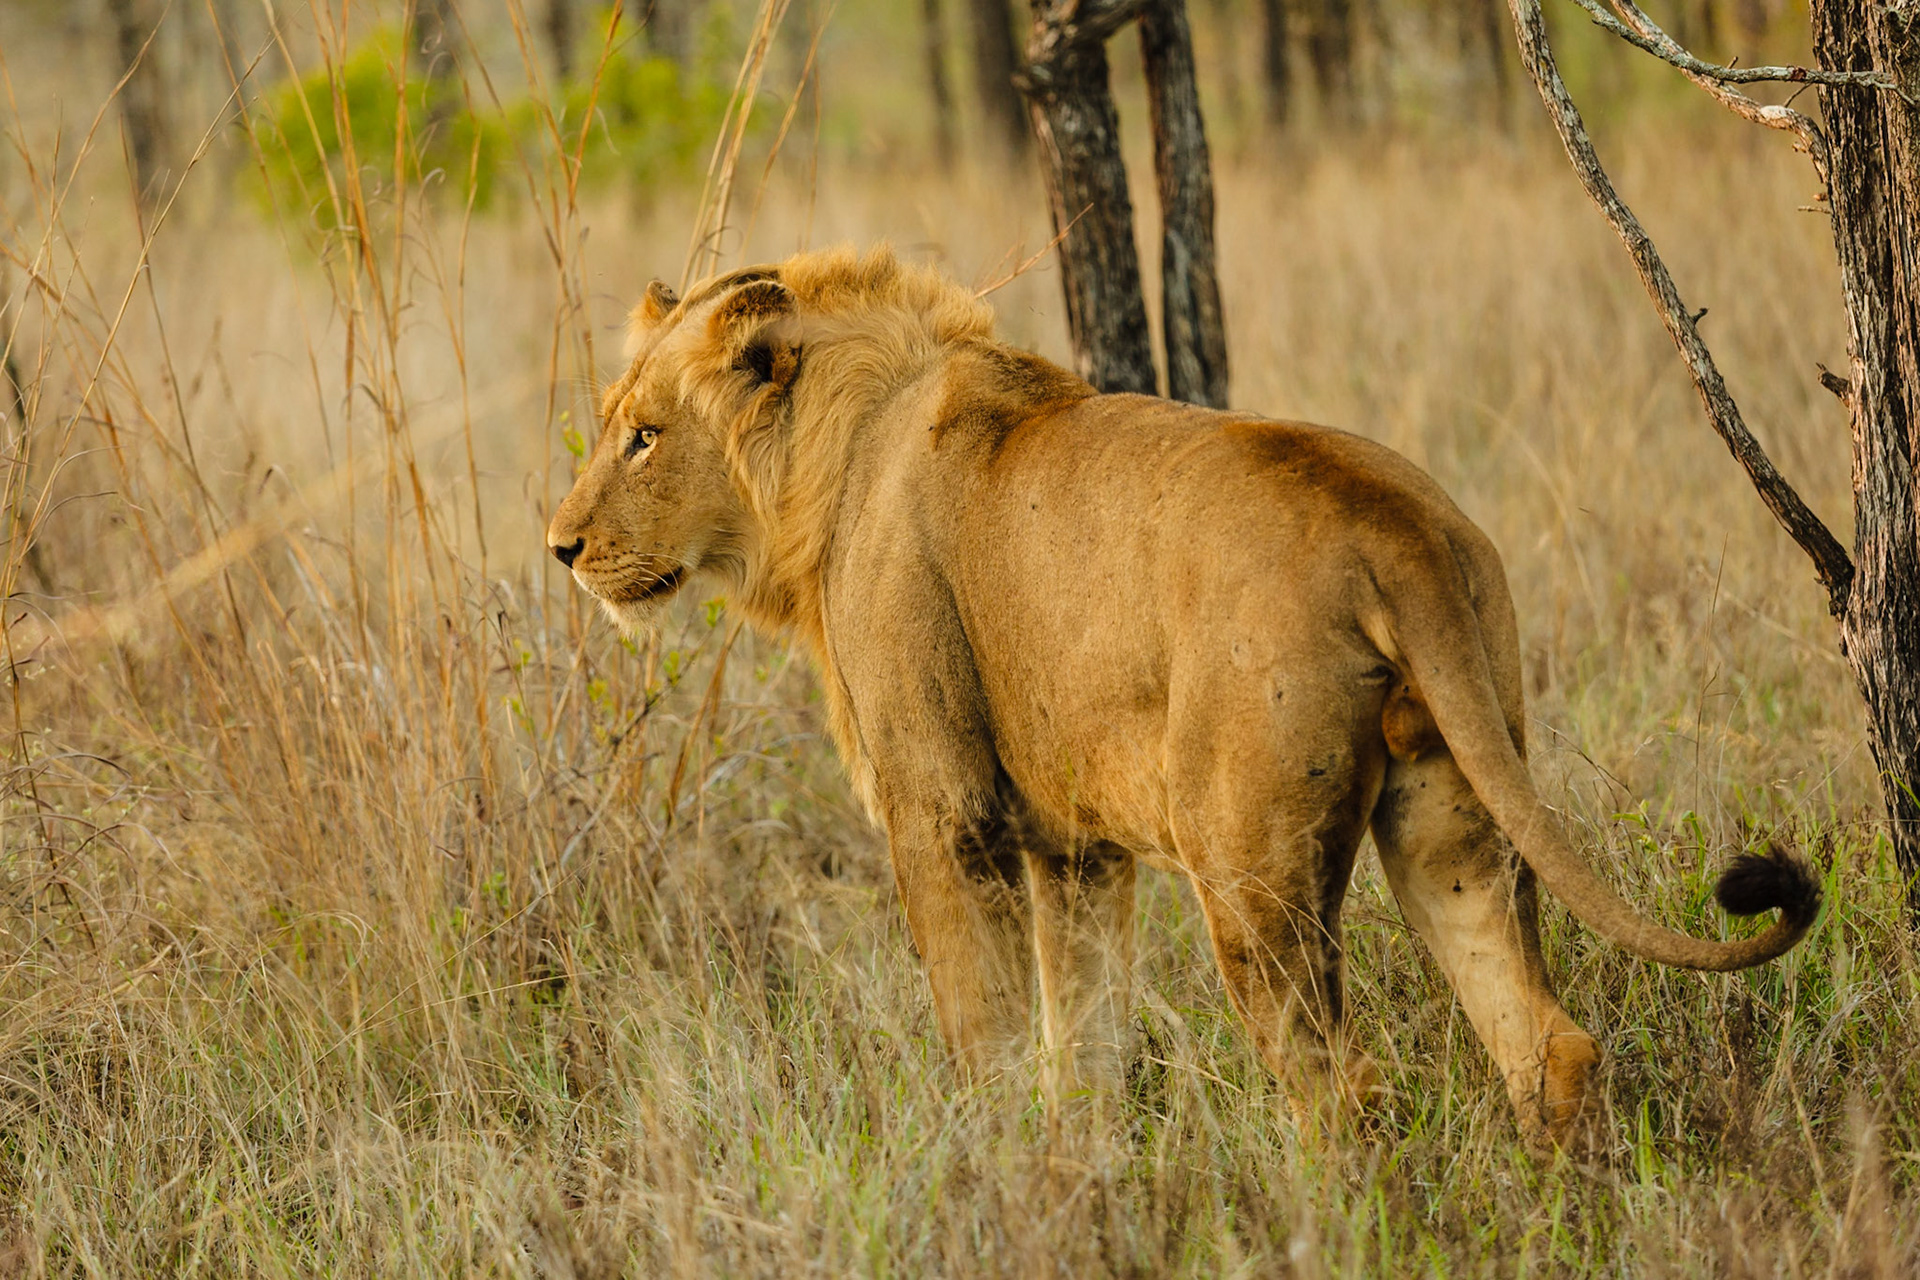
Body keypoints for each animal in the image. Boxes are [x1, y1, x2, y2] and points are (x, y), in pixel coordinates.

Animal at [546, 245, 1820, 1145]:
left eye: (645, 437)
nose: (560, 547)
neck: (836, 452)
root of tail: (1391, 523)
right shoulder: (1076, 847)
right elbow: (1080, 1049)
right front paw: (1084, 1178)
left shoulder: (943, 815)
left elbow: (985, 1045)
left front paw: (990, 1180)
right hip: (1455, 809)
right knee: (1547, 1044)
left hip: (1249, 862)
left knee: (1339, 1086)